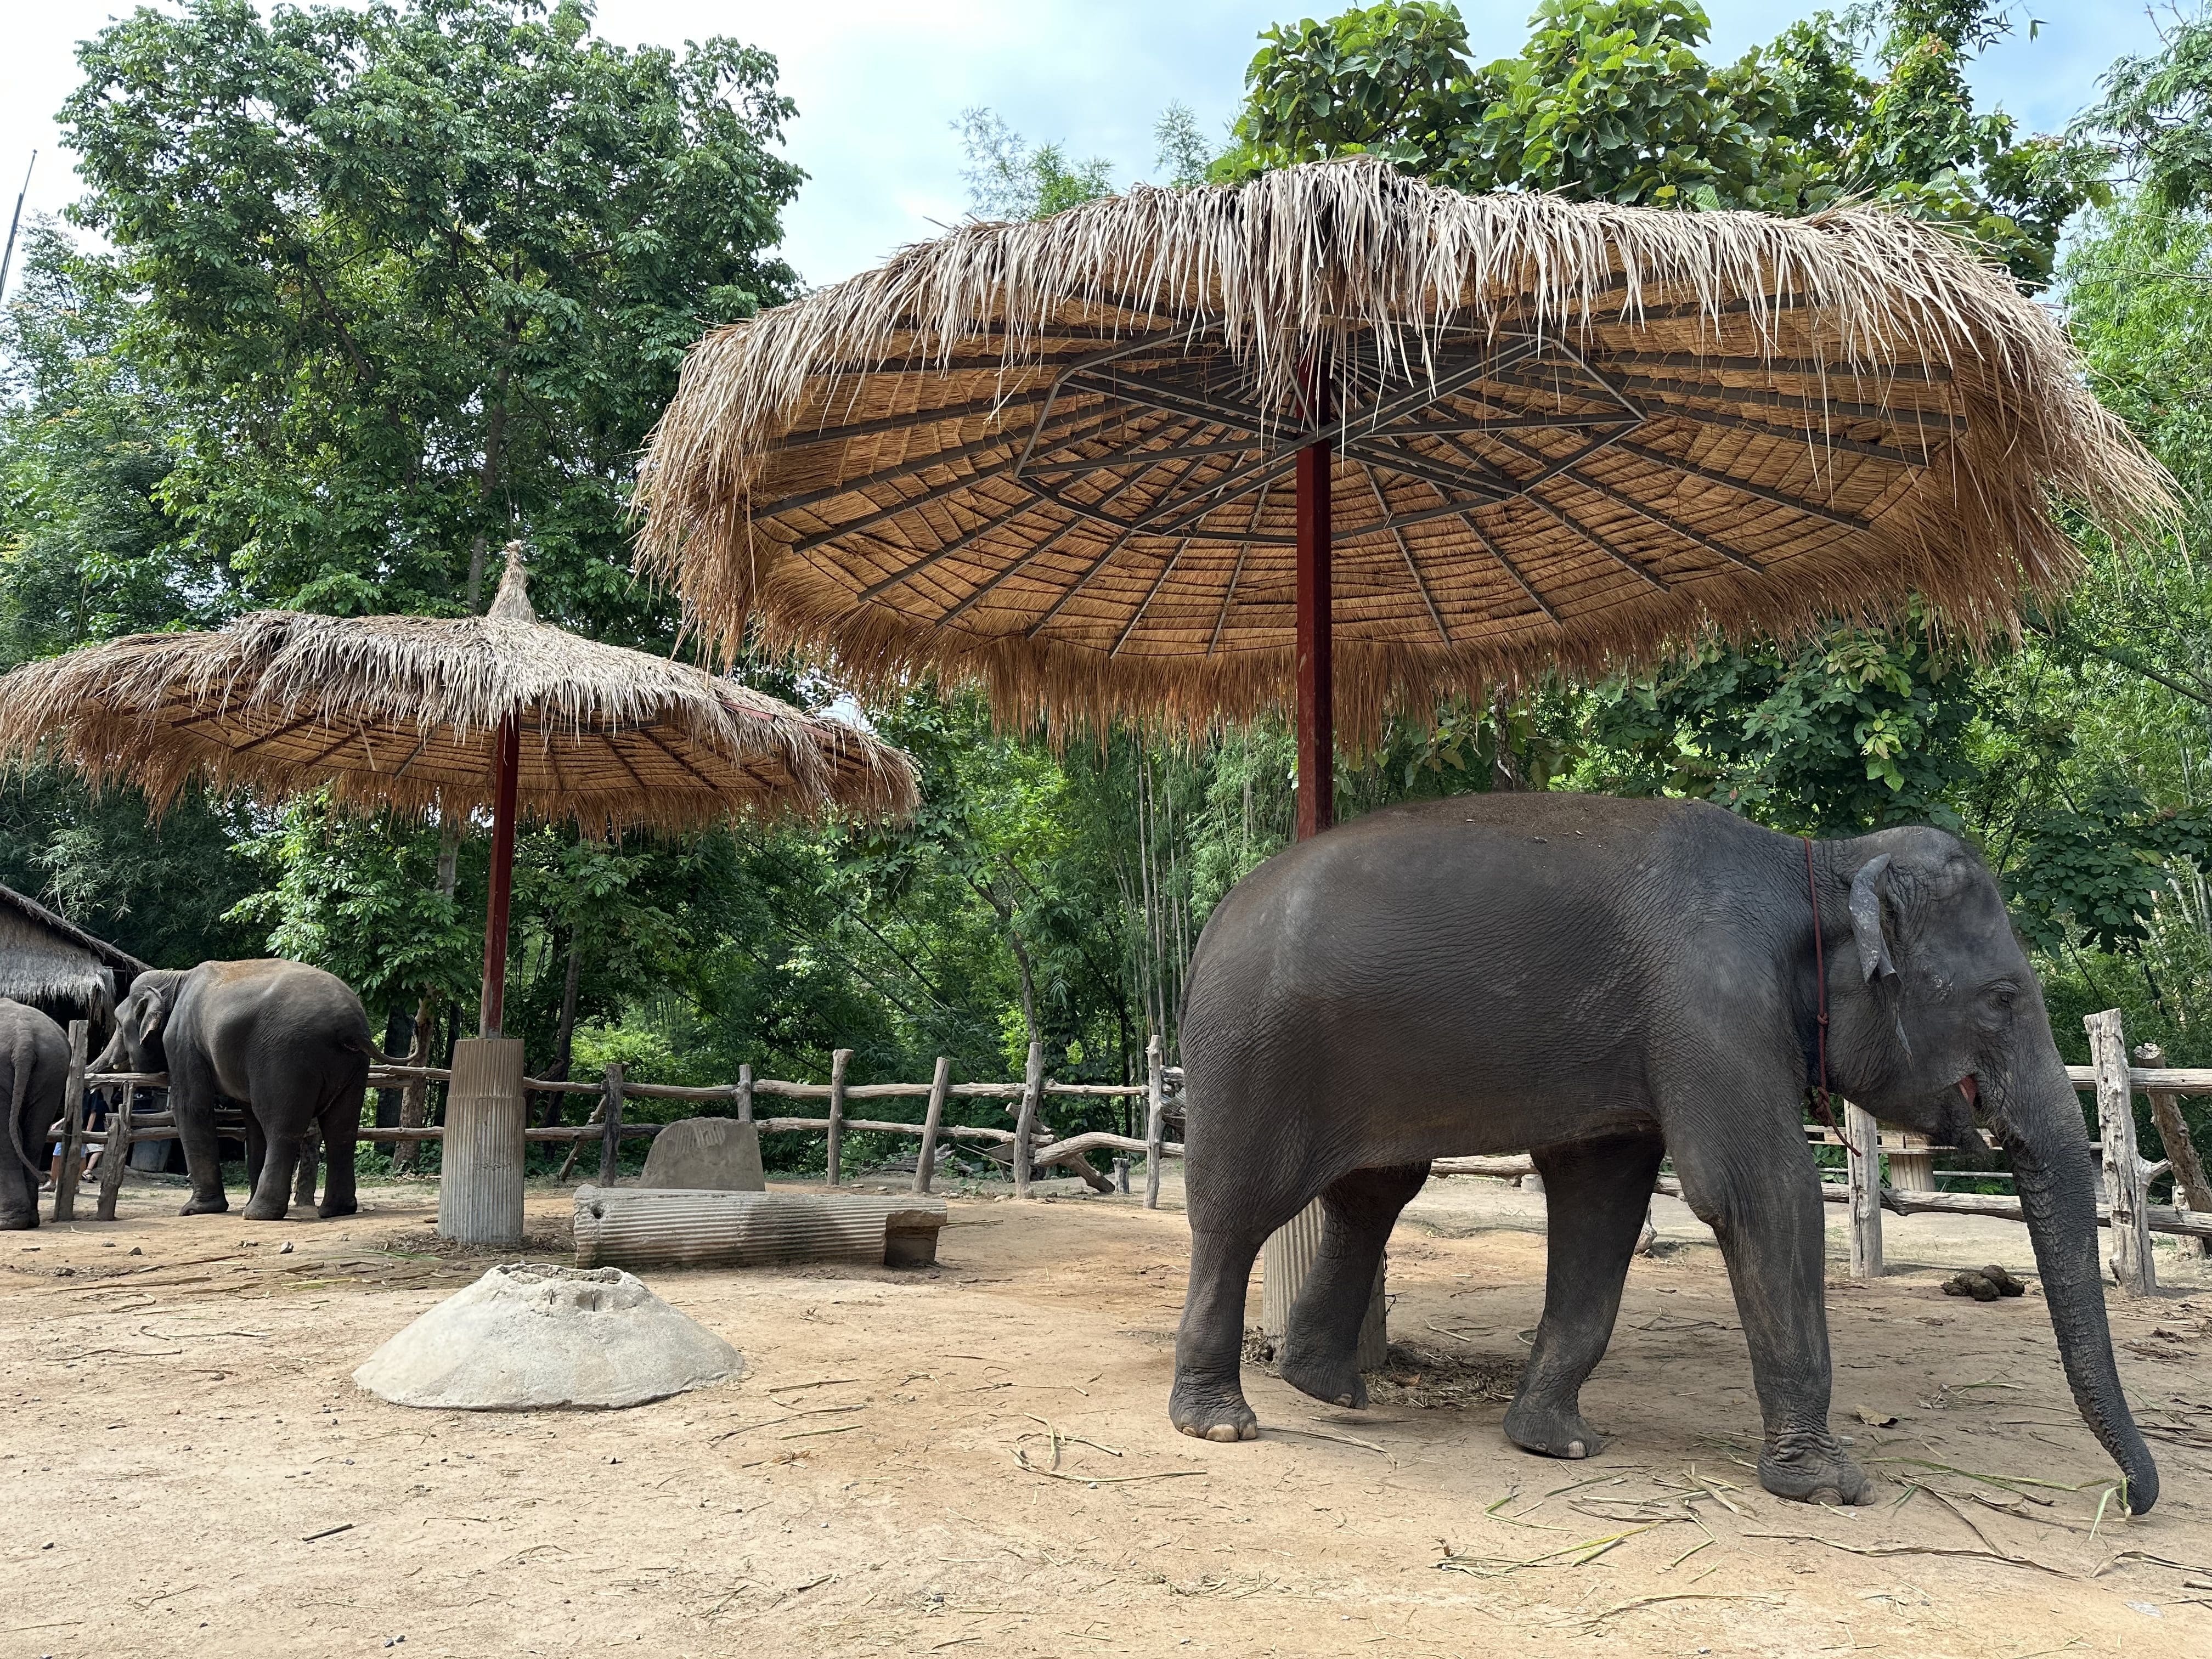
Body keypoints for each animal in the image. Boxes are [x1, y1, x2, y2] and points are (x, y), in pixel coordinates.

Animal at [95, 960, 378, 1222]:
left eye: (118, 1023)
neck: (176, 979)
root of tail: (351, 1027)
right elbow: (250, 1120)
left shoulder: (181, 1040)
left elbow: (192, 1106)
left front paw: (194, 1210)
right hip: (353, 1068)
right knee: (341, 1130)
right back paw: (335, 1210)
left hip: (287, 1059)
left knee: (280, 1127)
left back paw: (257, 1214)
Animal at [1169, 792, 2159, 1515]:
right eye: (2002, 996)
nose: (2129, 1496)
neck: (1816, 860)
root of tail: (1212, 920)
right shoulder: (1709, 997)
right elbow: (1756, 1192)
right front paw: (1829, 1486)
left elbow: (1602, 1203)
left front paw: (1559, 1443)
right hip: (1251, 1050)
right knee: (1237, 1210)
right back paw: (1220, 1423)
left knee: (1372, 1193)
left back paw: (1327, 1390)